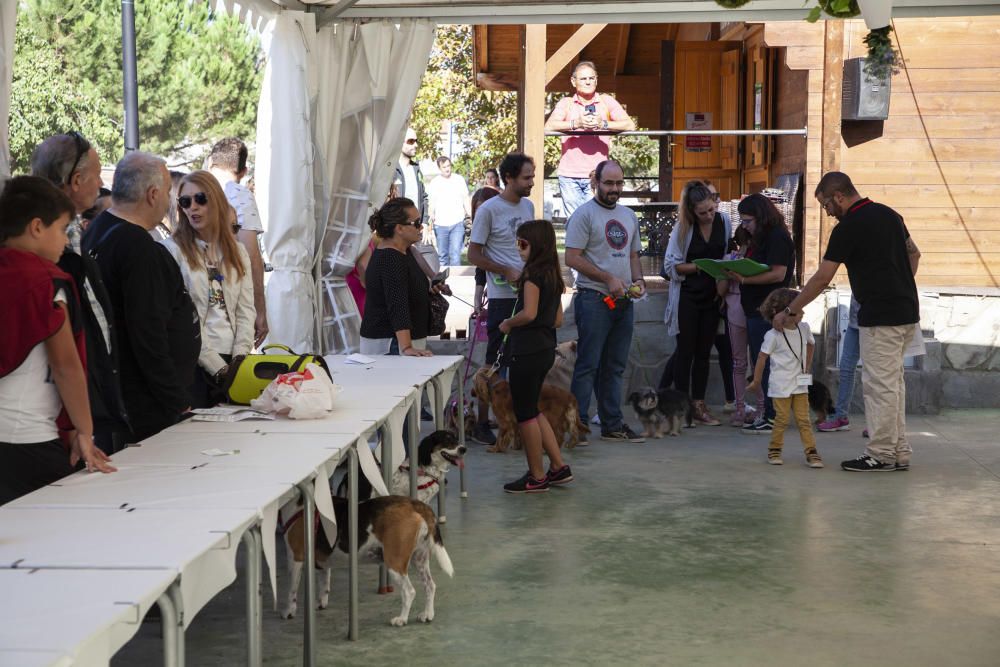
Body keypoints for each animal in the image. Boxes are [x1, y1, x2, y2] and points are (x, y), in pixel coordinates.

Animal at [282, 496, 454, 628]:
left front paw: (289, 611)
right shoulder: (323, 563)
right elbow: (324, 585)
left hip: (395, 562)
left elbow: (291, 590)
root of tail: (414, 503)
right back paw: (428, 614)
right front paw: (320, 604)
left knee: (409, 591)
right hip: (419, 559)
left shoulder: (295, 558)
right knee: (430, 586)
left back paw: (401, 619)